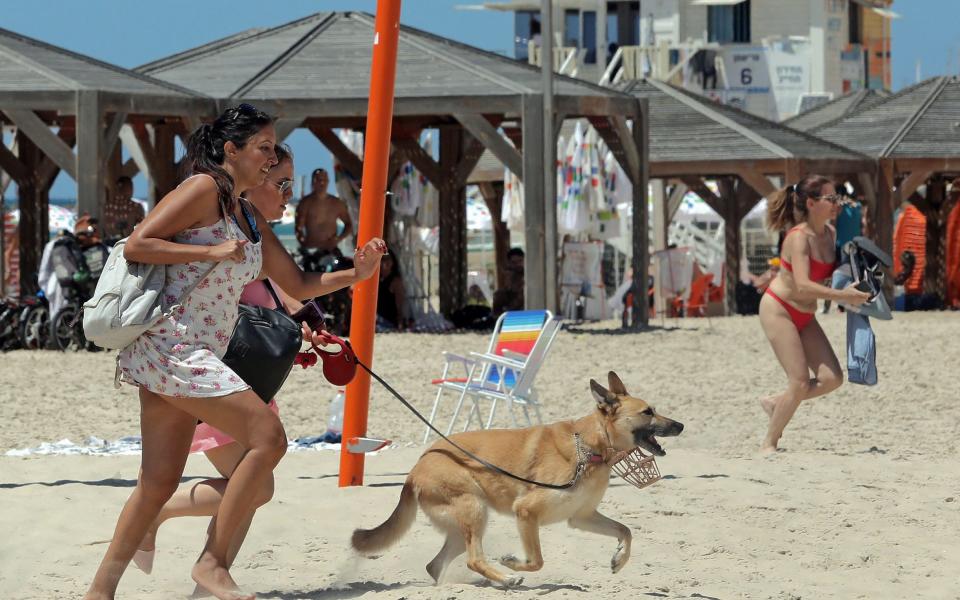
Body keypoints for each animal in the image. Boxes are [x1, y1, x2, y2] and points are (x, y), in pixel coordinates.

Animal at [352, 370, 684, 584]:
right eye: (648, 412)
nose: (680, 425)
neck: (591, 447)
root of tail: (416, 467)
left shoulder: (582, 517)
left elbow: (626, 530)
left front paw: (619, 559)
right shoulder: (526, 512)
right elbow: (537, 560)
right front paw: (513, 563)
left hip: (463, 526)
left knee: (436, 566)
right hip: (475, 511)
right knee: (474, 559)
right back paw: (506, 578)